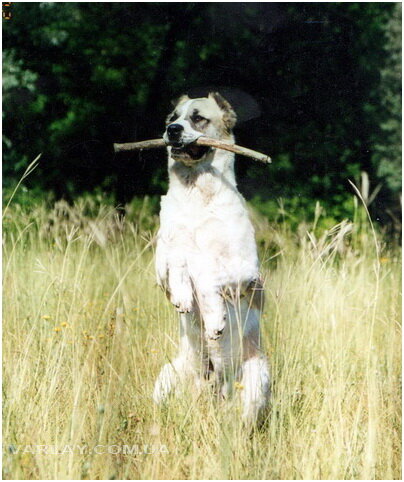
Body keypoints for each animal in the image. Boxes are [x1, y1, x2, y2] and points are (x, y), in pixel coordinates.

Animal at [153, 92, 270, 424]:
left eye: (197, 118)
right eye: (172, 118)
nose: (172, 130)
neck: (196, 193)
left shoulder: (246, 270)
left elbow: (207, 271)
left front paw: (215, 317)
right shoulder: (161, 266)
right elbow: (178, 256)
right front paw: (183, 295)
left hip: (256, 378)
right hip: (167, 377)